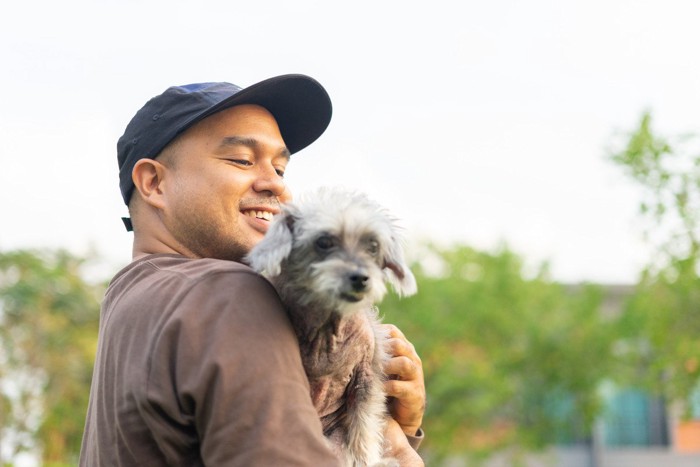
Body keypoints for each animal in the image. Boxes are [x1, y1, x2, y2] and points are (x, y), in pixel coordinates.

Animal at [245, 187, 416, 467]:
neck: (326, 327)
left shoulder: (365, 380)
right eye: (324, 242)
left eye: (373, 245)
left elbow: (364, 429)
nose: (360, 278)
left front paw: (366, 458)